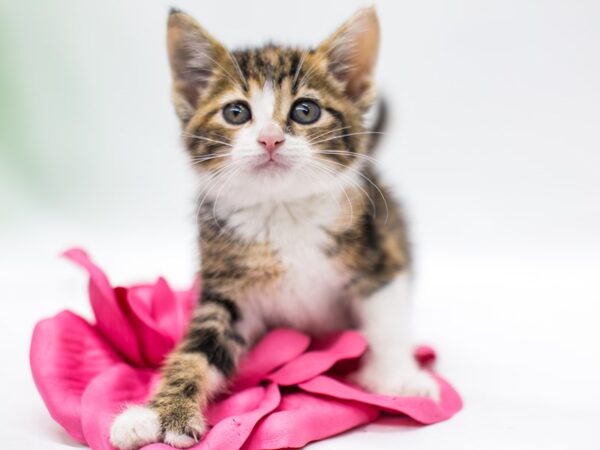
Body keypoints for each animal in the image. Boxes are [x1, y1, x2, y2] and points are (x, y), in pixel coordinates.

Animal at [110, 7, 438, 450]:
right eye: (236, 112)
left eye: (305, 111)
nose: (269, 139)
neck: (283, 211)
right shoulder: (228, 291)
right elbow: (197, 349)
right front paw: (155, 413)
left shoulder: (380, 252)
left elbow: (386, 321)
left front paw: (398, 376)